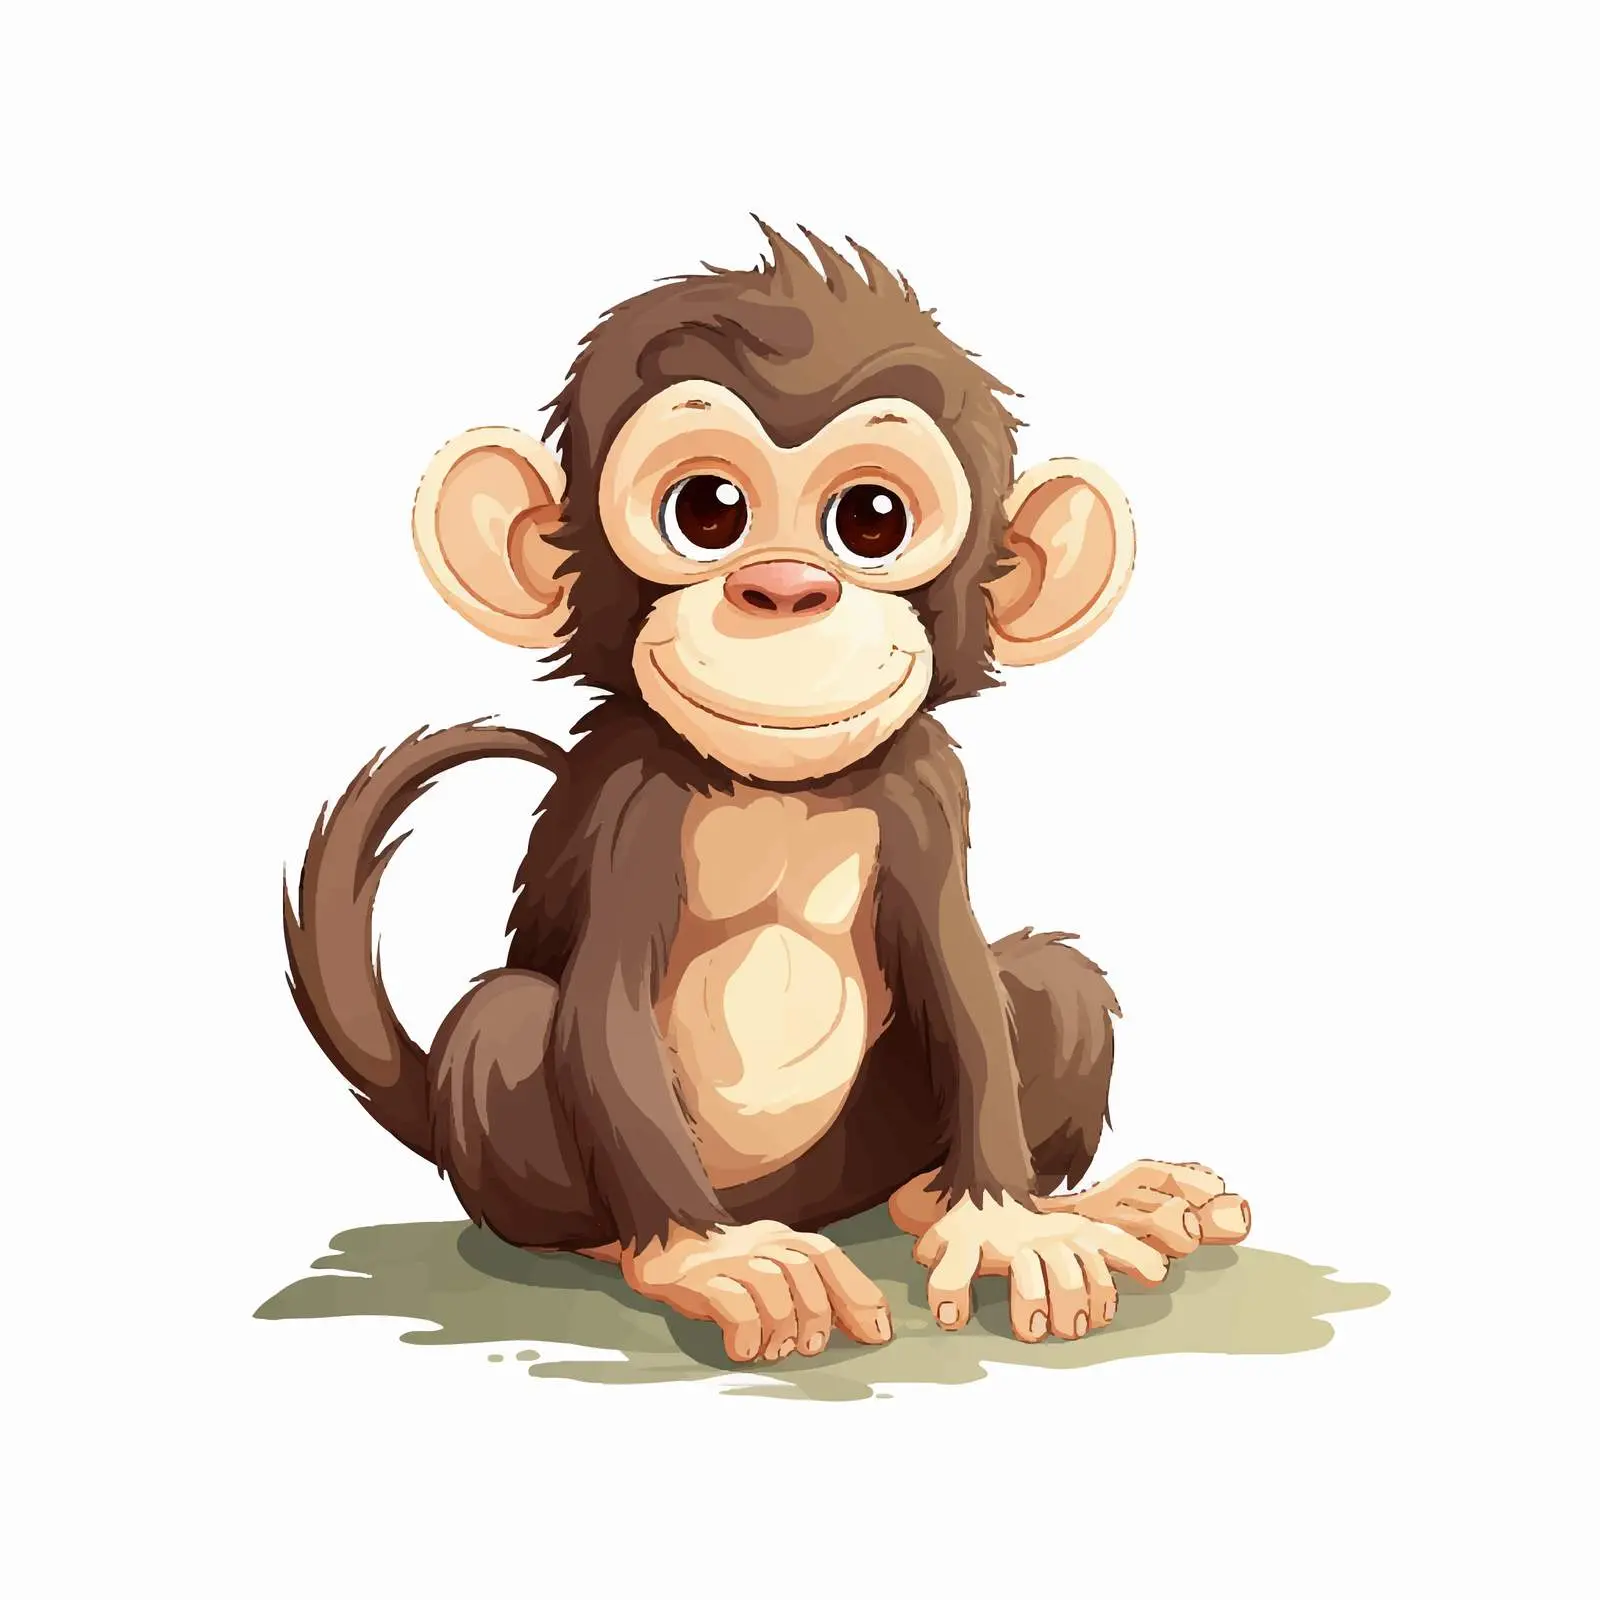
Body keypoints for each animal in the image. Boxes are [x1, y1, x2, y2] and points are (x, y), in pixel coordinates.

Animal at [285, 224, 1252, 1365]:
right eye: (708, 511)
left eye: (871, 520)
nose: (785, 589)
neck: (773, 790)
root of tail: (799, 1200)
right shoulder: (627, 800)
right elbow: (602, 1005)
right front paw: (707, 1260)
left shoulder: (927, 786)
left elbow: (963, 972)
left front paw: (1006, 1221)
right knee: (507, 1022)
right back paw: (640, 1242)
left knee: (1051, 981)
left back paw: (968, 1198)